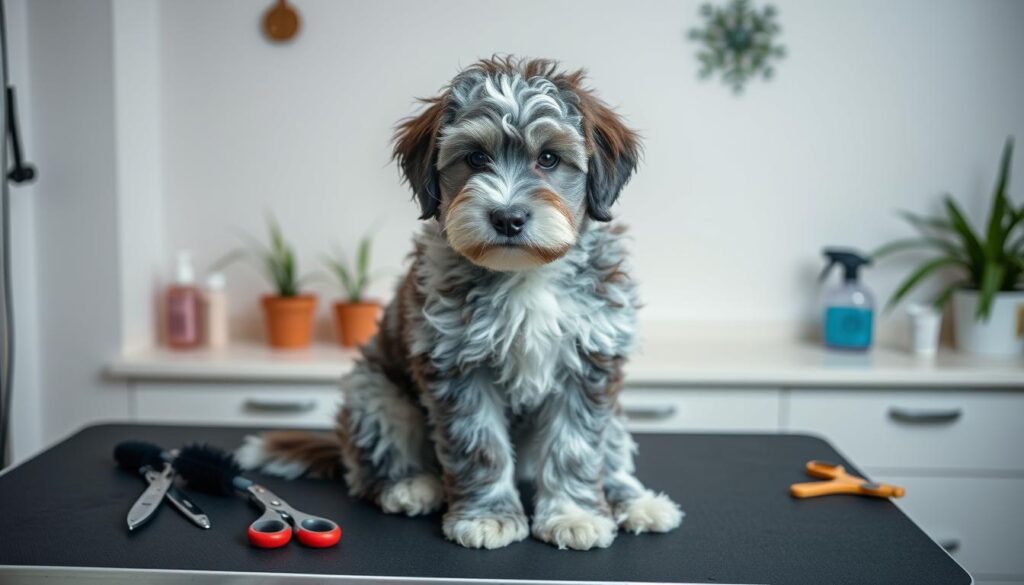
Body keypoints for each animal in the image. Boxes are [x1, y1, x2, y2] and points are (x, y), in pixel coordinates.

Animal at [238, 57, 684, 553]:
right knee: (365, 470)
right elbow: (480, 446)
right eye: (475, 158)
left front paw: (574, 514)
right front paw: (489, 516)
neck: (524, 275)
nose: (507, 217)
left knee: (614, 450)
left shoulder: (591, 359)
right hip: (374, 394)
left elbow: (577, 446)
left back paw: (636, 500)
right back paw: (409, 486)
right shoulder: (456, 362)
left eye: (549, 158)